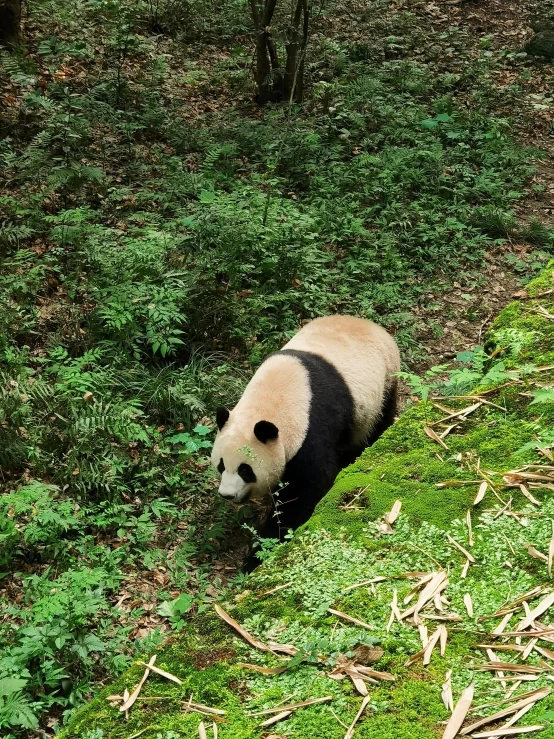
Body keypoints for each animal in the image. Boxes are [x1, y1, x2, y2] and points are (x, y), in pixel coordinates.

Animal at [210, 316, 396, 536]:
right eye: (221, 465)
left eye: (245, 470)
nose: (227, 495)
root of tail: (373, 326)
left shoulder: (312, 427)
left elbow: (309, 487)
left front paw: (269, 536)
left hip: (384, 384)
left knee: (377, 425)